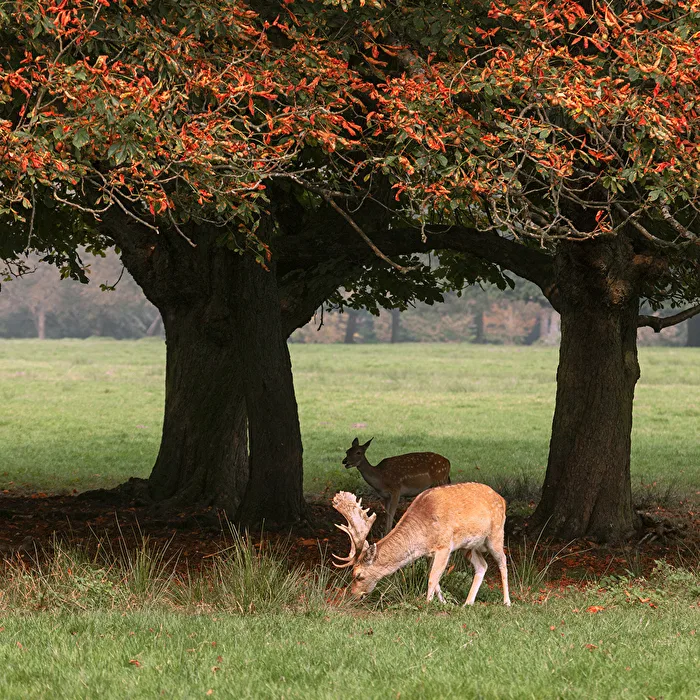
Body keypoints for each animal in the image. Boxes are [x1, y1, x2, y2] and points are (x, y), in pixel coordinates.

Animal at [332, 484, 511, 606]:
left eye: (358, 575)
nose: (353, 595)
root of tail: (502, 499)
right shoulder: (429, 554)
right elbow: (435, 579)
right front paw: (444, 603)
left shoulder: (444, 546)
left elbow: (432, 578)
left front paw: (427, 604)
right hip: (468, 547)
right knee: (482, 565)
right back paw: (467, 603)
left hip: (496, 534)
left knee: (503, 561)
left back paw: (507, 602)